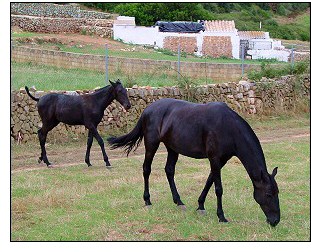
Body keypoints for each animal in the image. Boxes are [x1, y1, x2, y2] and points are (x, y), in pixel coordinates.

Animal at [108, 98, 282, 226]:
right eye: (268, 194)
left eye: (277, 192)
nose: (275, 221)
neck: (228, 127)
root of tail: (147, 110)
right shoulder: (214, 158)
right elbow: (218, 188)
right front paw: (221, 216)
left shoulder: (221, 160)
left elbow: (209, 181)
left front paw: (200, 205)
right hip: (152, 144)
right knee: (146, 169)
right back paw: (147, 200)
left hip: (173, 148)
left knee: (169, 170)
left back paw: (179, 201)